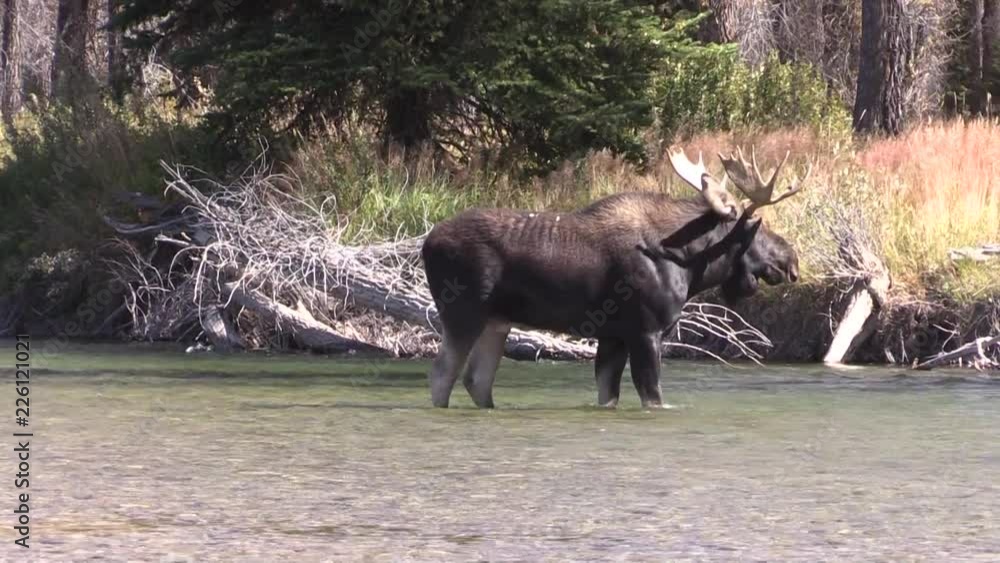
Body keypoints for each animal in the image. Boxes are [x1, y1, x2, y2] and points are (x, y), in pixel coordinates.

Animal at [424, 145, 812, 410]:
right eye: (758, 228)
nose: (792, 260)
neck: (690, 266)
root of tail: (426, 243)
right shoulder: (646, 331)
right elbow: (653, 396)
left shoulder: (612, 335)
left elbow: (607, 395)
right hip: (464, 313)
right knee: (442, 375)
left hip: (497, 322)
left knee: (477, 380)